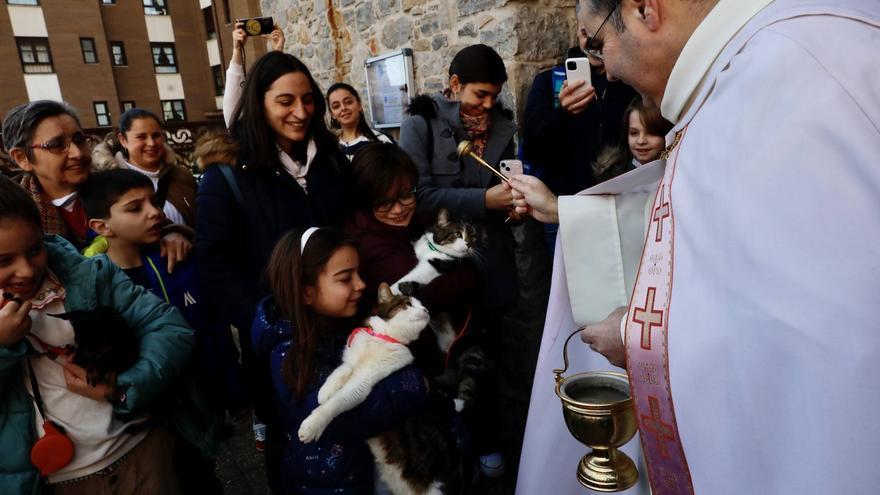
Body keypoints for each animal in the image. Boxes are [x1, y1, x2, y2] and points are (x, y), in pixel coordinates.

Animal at [392, 208, 474, 352]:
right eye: (457, 234)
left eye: (472, 238)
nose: (469, 244)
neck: (433, 249)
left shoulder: (434, 267)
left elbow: (413, 275)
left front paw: (390, 290)